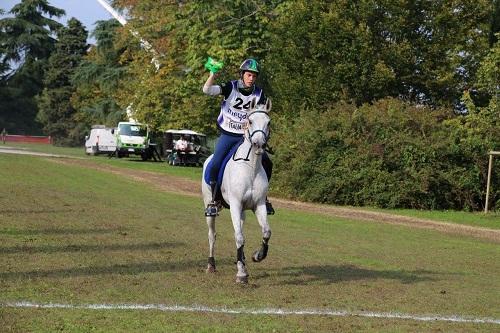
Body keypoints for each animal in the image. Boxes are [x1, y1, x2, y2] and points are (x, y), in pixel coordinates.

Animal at [201, 96, 272, 282]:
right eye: (250, 120)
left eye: (268, 122)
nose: (259, 144)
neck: (251, 167)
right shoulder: (235, 204)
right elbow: (239, 237)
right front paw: (241, 274)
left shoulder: (259, 205)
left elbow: (266, 232)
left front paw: (257, 256)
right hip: (210, 207)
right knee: (212, 234)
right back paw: (211, 265)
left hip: (243, 212)